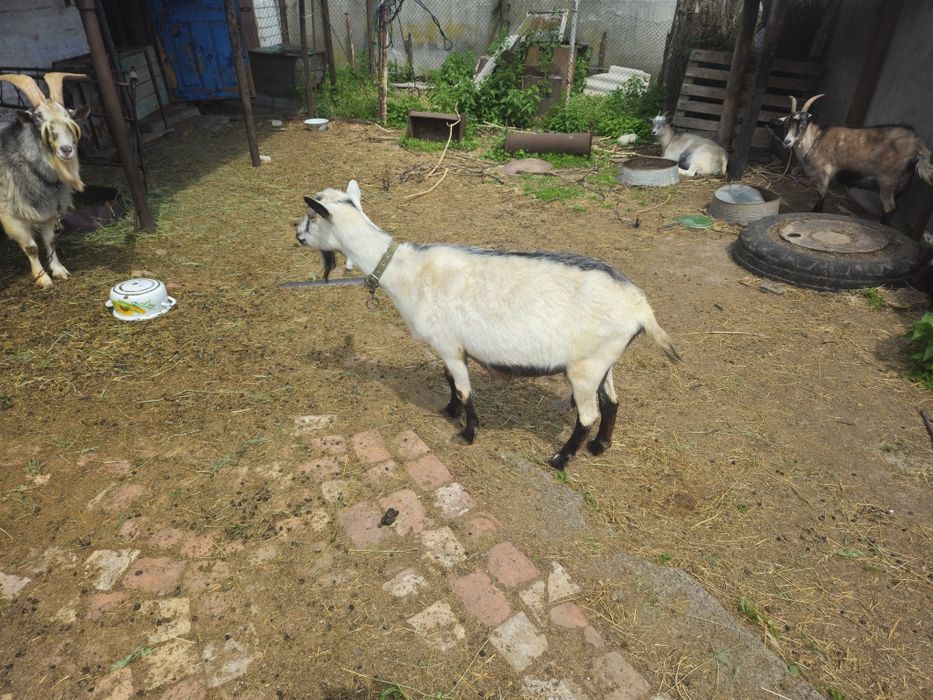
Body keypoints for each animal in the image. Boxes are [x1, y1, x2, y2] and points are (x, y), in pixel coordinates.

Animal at [0, 72, 88, 289]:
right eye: (38, 120)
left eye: (70, 120)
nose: (66, 150)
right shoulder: (10, 214)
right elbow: (31, 247)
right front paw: (42, 278)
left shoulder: (49, 210)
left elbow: (49, 241)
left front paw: (58, 270)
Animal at [295, 181, 680, 470]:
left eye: (312, 217)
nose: (297, 235)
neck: (407, 271)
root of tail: (640, 307)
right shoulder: (451, 348)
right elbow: (450, 380)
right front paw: (449, 411)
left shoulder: (448, 345)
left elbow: (465, 390)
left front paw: (467, 432)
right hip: (603, 360)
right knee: (612, 402)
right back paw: (600, 446)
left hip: (585, 368)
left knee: (587, 415)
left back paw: (560, 459)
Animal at [775, 94, 933, 224]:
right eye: (785, 125)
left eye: (802, 125)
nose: (787, 142)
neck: (815, 140)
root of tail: (917, 144)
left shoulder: (824, 171)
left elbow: (821, 196)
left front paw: (815, 214)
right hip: (901, 185)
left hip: (887, 180)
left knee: (889, 208)